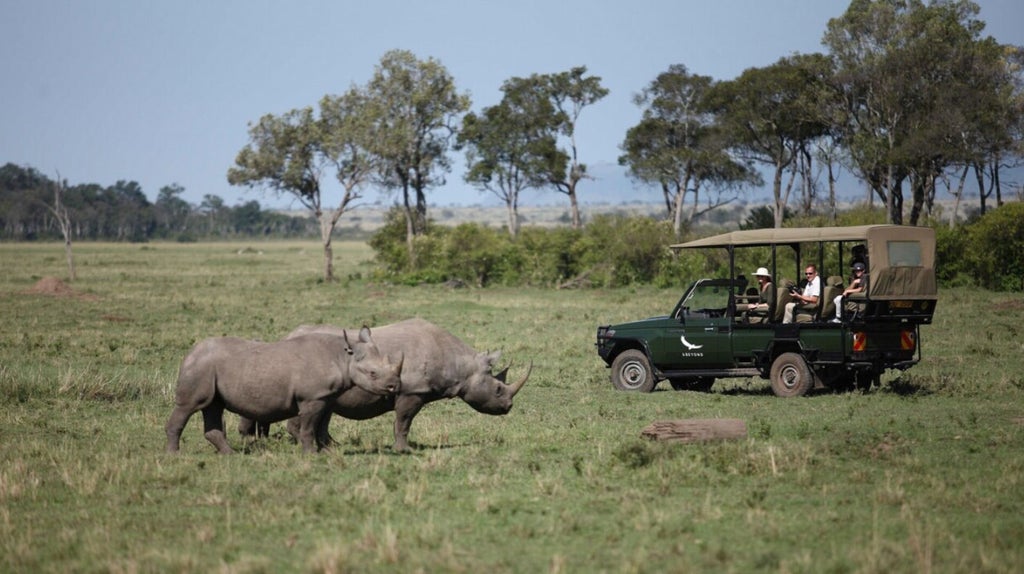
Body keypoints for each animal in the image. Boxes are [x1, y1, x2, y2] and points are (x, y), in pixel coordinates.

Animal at [163, 327, 399, 452]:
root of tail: (190, 353)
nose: (393, 386)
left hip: (209, 368)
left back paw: (230, 455)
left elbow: (321, 426)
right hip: (200, 367)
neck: (343, 356)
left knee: (213, 406)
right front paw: (311, 454)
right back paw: (175, 455)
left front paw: (327, 451)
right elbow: (308, 427)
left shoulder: (326, 396)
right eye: (372, 373)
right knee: (189, 406)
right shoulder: (312, 397)